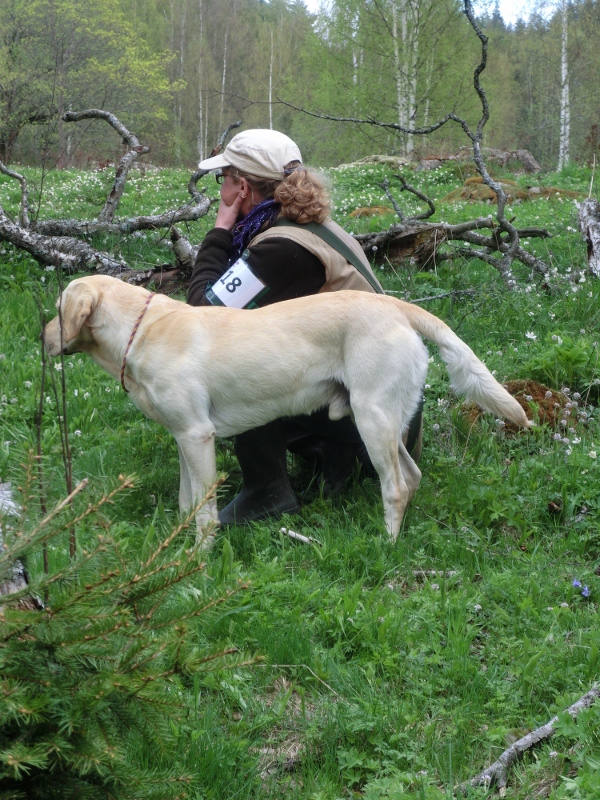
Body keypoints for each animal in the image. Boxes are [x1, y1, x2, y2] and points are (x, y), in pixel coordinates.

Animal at [44, 275, 530, 546]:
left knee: (394, 487)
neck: (141, 331)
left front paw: (199, 560)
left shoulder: (198, 436)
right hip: (388, 422)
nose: (41, 335)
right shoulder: (183, 437)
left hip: (372, 418)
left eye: (57, 310)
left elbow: (203, 513)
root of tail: (396, 304)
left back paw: (386, 546)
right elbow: (186, 503)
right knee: (411, 477)